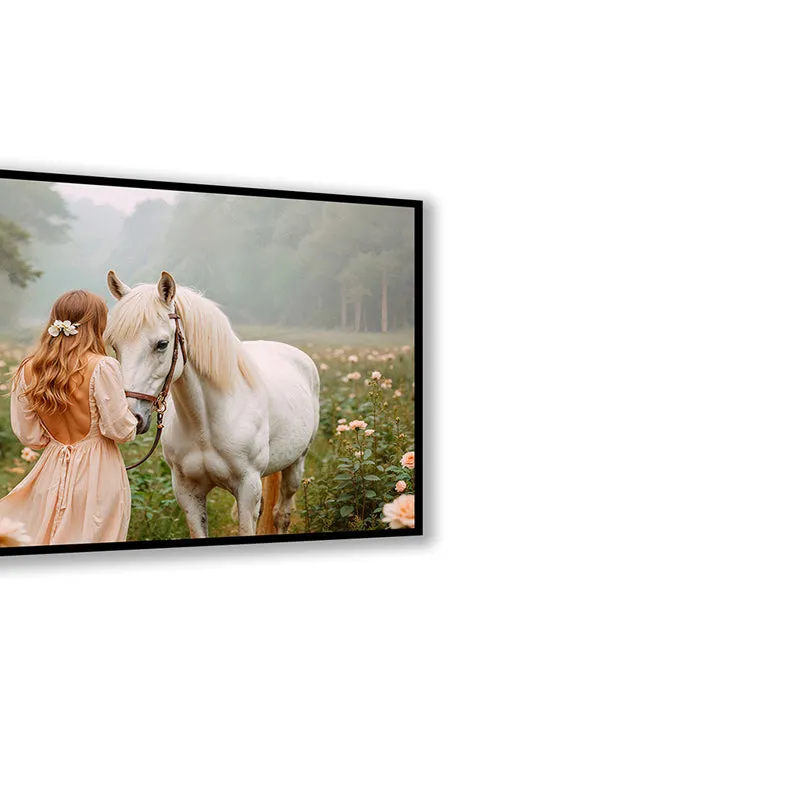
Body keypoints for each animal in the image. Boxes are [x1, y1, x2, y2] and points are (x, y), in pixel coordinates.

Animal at [105, 270, 320, 538]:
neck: (205, 425)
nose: (129, 418)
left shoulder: (248, 488)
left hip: (296, 463)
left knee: (282, 514)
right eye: (115, 345)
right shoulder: (187, 492)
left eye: (162, 344)